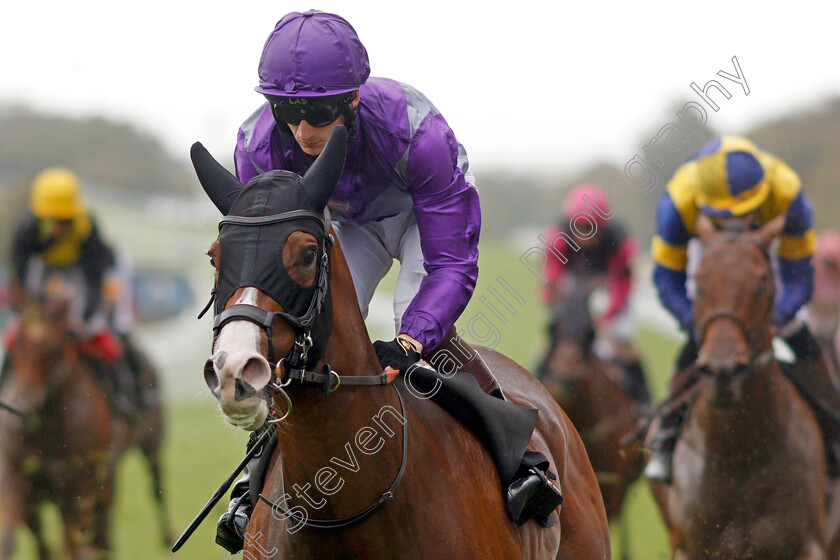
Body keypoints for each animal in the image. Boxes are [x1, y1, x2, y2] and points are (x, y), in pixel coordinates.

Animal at [0, 270, 171, 556]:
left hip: (150, 444)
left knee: (155, 485)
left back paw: (167, 536)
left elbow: (70, 545)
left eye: (53, 348)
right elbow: (16, 539)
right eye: (16, 345)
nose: (20, 403)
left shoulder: (79, 486)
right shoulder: (19, 480)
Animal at [648, 215, 840, 560]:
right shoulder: (691, 548)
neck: (739, 451)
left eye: (762, 281)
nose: (723, 370)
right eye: (699, 281)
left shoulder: (809, 546)